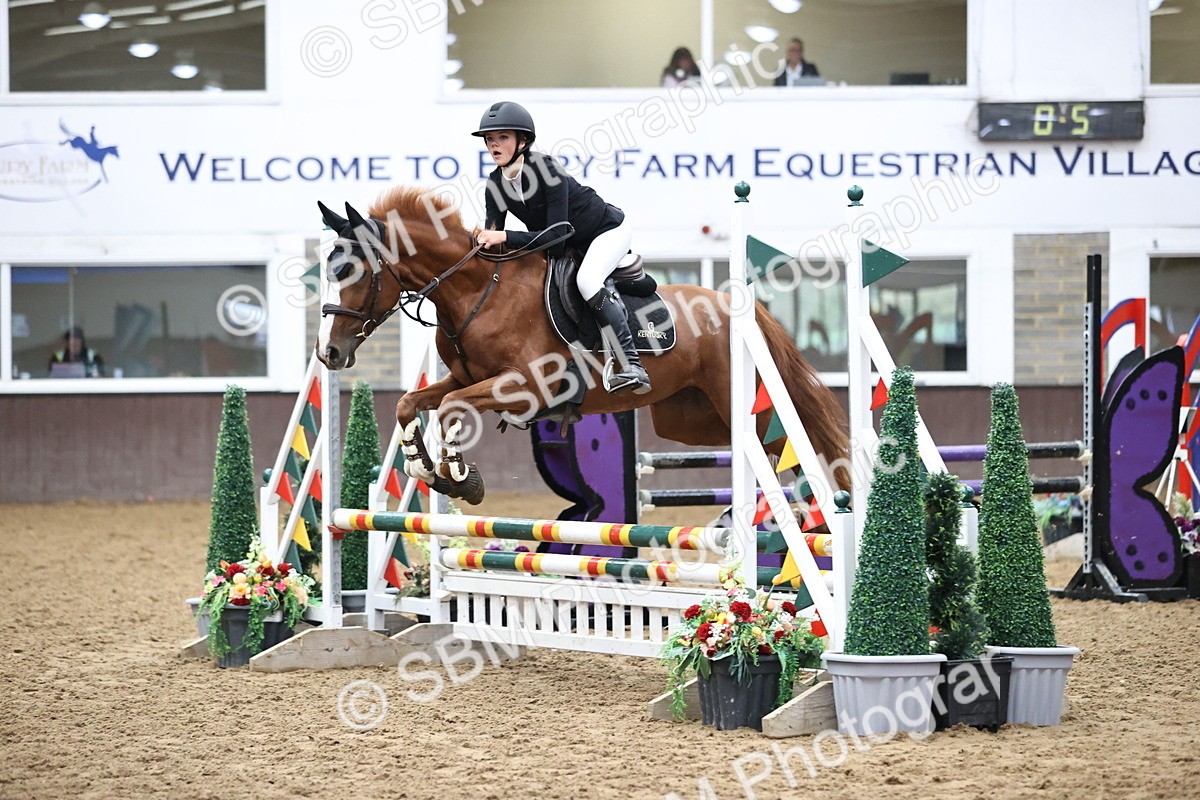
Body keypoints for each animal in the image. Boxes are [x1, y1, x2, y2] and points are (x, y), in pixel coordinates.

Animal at [315, 187, 849, 506]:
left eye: (354, 271)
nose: (328, 354)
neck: (475, 291)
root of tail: (736, 305)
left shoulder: (524, 386)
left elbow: (448, 409)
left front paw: (459, 475)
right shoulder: (467, 378)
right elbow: (411, 403)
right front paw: (425, 467)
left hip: (743, 407)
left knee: (796, 444)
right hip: (691, 421)